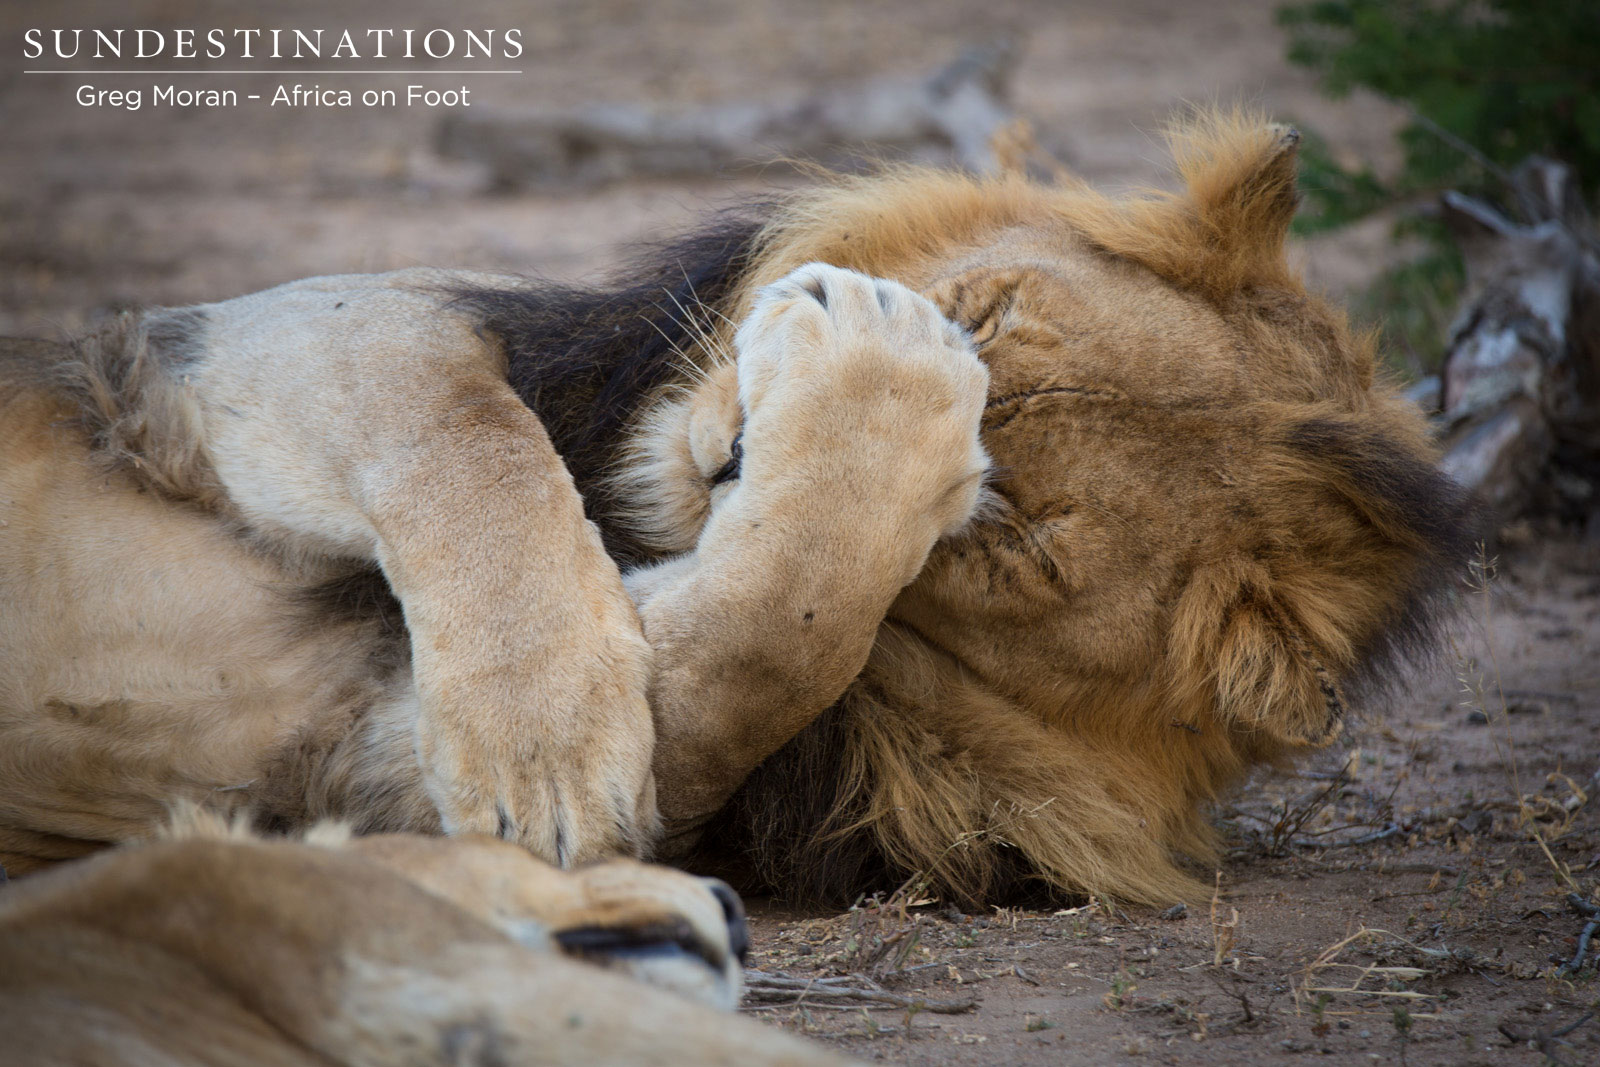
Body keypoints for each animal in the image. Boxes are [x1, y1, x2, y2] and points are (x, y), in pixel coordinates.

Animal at [0, 111, 1473, 907]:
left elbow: (773, 639)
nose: (738, 453)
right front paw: (540, 740)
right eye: (988, 316)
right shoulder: (247, 341)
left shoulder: (367, 777)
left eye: (1013, 543)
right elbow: (472, 442)